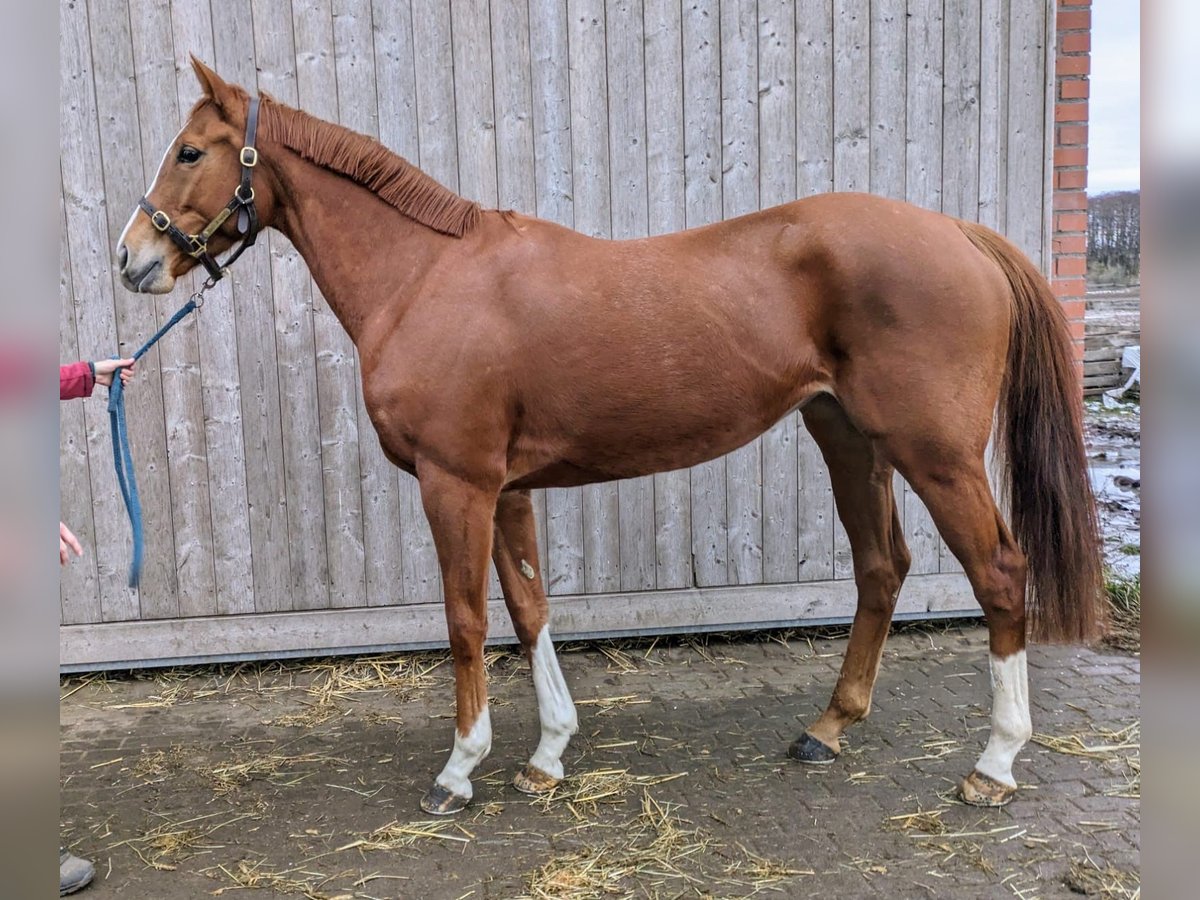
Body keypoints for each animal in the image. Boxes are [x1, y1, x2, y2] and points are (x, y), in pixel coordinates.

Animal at [117, 58, 1099, 816]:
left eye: (190, 151)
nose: (132, 259)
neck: (427, 276)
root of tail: (960, 235)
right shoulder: (507, 487)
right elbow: (529, 610)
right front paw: (547, 755)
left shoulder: (455, 482)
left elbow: (467, 620)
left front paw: (458, 772)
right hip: (850, 439)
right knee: (881, 568)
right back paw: (827, 730)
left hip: (936, 454)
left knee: (998, 573)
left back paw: (994, 765)